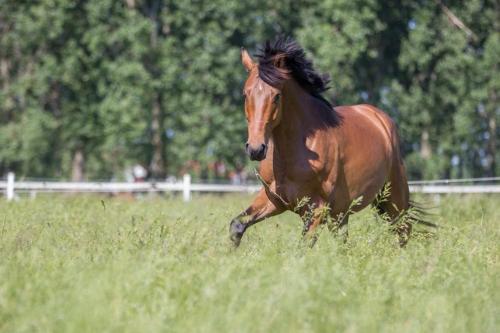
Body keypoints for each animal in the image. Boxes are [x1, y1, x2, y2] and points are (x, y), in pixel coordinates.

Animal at [230, 37, 426, 246]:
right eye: (245, 94)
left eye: (276, 96)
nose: (256, 149)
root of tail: (379, 118)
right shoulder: (274, 200)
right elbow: (237, 225)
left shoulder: (317, 209)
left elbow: (303, 246)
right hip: (341, 214)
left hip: (393, 197)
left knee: (403, 231)